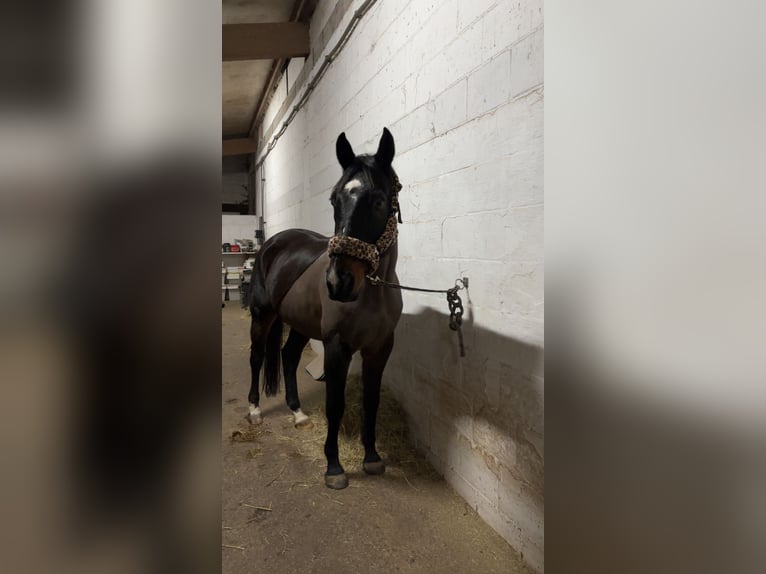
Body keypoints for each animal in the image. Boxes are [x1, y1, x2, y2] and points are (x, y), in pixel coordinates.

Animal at [247, 128, 403, 489]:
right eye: (334, 200)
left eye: (378, 200)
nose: (338, 283)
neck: (372, 292)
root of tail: (271, 243)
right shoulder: (336, 346)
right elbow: (336, 404)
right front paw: (334, 466)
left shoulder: (380, 348)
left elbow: (371, 401)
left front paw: (372, 457)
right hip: (262, 316)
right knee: (258, 357)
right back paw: (255, 411)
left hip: (300, 325)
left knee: (289, 357)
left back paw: (298, 413)